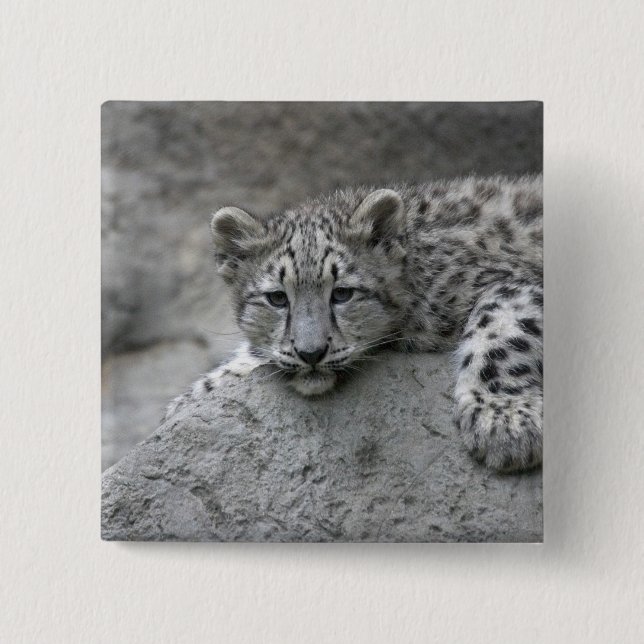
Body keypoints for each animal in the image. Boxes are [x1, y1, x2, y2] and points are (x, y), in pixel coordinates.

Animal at [165, 175, 543, 473]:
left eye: (342, 293)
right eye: (277, 298)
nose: (311, 353)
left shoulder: (514, 281)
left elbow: (501, 329)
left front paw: (504, 423)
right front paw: (183, 404)